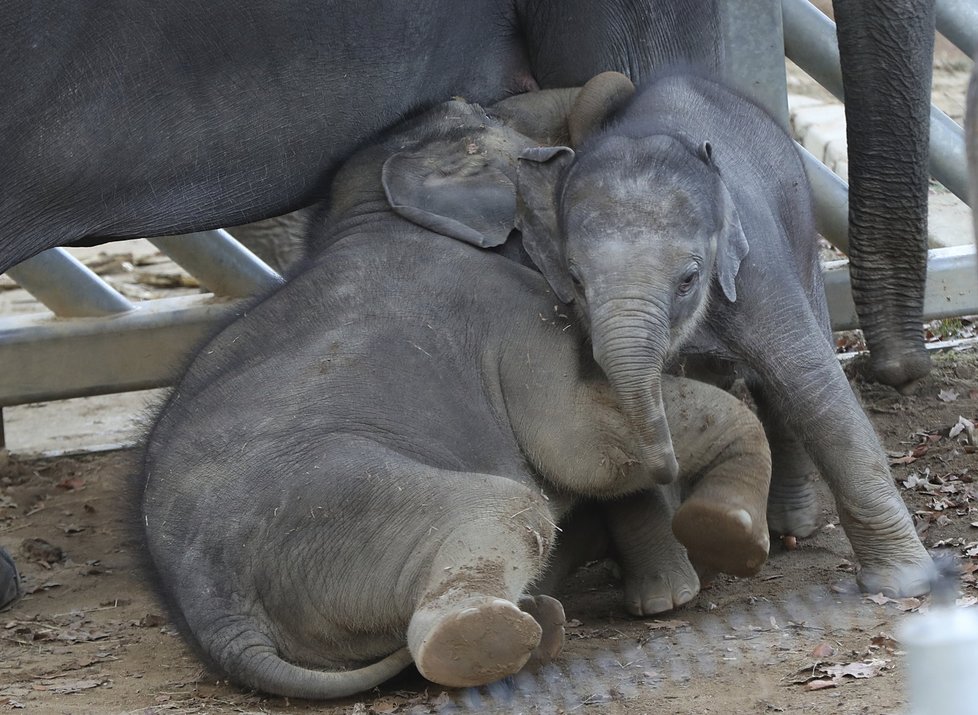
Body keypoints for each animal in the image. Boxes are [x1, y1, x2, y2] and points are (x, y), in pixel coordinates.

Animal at [135, 78, 772, 700]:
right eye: (482, 108)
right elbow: (581, 447)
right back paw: (494, 637)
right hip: (343, 513)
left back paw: (543, 622)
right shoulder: (512, 317)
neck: (378, 211)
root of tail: (220, 621)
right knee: (513, 510)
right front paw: (732, 535)